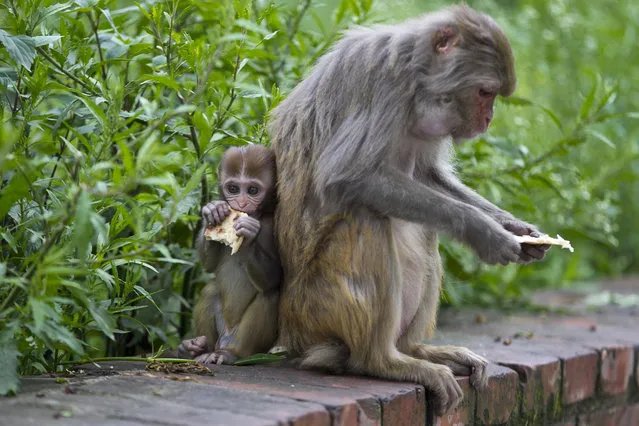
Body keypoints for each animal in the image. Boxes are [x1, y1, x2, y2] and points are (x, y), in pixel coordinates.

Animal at [179, 145, 282, 364]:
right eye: (233, 189)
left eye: (252, 190)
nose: (241, 204)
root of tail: (226, 339)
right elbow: (209, 265)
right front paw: (212, 212)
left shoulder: (274, 225)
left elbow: (274, 278)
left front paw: (248, 235)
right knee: (210, 289)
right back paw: (197, 350)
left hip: (246, 342)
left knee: (270, 295)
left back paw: (232, 355)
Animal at [270, 5, 552, 414]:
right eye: (485, 93)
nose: (489, 119)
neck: (418, 81)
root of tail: (290, 331)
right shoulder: (386, 85)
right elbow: (346, 176)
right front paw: (483, 232)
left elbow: (425, 175)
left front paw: (515, 228)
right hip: (317, 308)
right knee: (367, 215)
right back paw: (384, 361)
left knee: (426, 226)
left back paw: (417, 350)